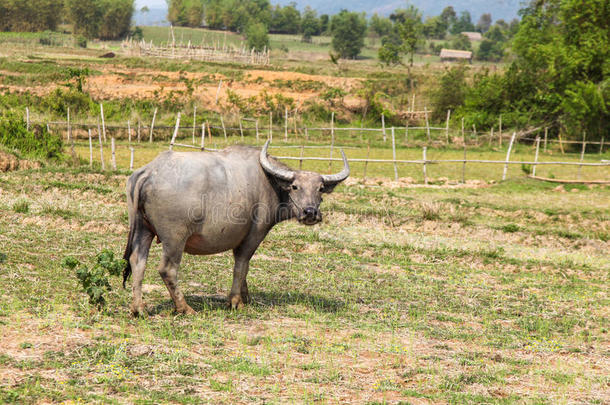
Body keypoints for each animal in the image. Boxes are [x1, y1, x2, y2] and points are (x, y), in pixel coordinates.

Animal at [121, 140, 346, 314]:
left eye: (320, 189)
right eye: (295, 187)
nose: (310, 213)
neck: (269, 182)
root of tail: (150, 172)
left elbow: (245, 269)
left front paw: (245, 296)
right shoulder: (254, 234)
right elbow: (241, 265)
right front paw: (236, 301)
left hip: (142, 229)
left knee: (138, 262)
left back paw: (139, 309)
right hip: (175, 237)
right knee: (167, 269)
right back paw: (184, 308)